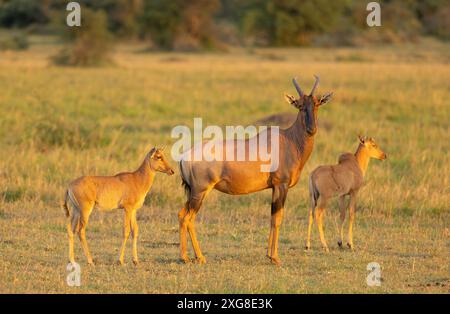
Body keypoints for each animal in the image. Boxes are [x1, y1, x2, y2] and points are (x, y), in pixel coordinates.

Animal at [178, 76, 332, 264]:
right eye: (300, 105)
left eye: (316, 104)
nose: (311, 130)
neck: (288, 140)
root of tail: (185, 156)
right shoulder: (282, 185)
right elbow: (278, 218)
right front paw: (275, 258)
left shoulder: (273, 188)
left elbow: (272, 217)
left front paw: (269, 255)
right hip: (200, 192)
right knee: (188, 218)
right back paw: (196, 257)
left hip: (192, 192)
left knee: (181, 215)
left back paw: (188, 256)